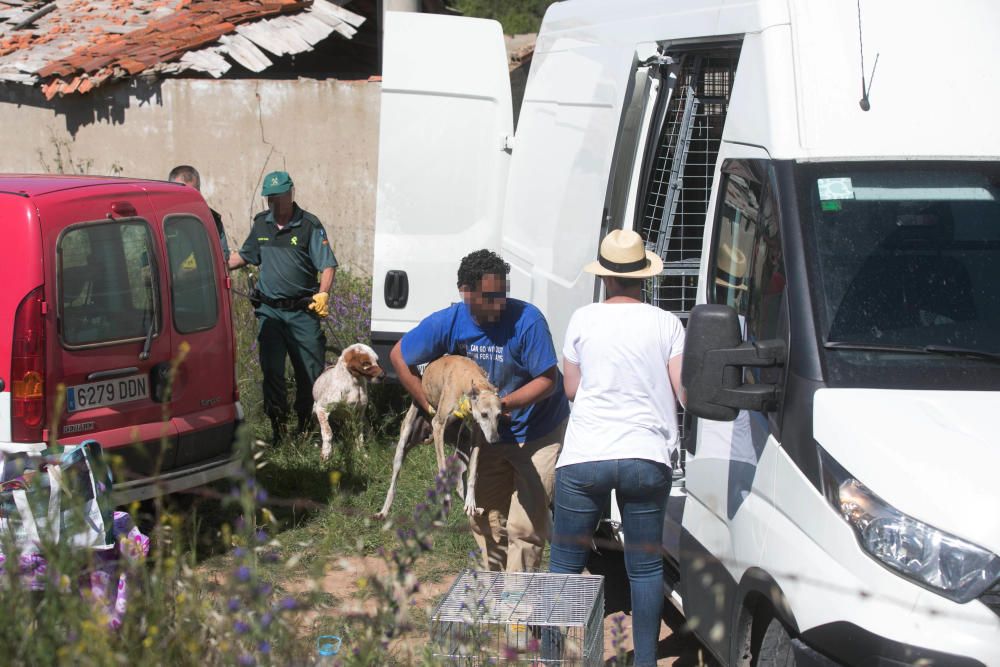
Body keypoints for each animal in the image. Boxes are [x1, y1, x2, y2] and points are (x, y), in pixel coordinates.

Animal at [376, 354, 500, 520]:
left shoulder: (477, 432)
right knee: (394, 480)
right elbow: (443, 469)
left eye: (499, 415)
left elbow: (473, 472)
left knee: (460, 482)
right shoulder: (439, 425)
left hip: (462, 441)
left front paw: (471, 502)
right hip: (405, 441)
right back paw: (384, 511)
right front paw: (447, 500)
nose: (494, 440)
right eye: (484, 414)